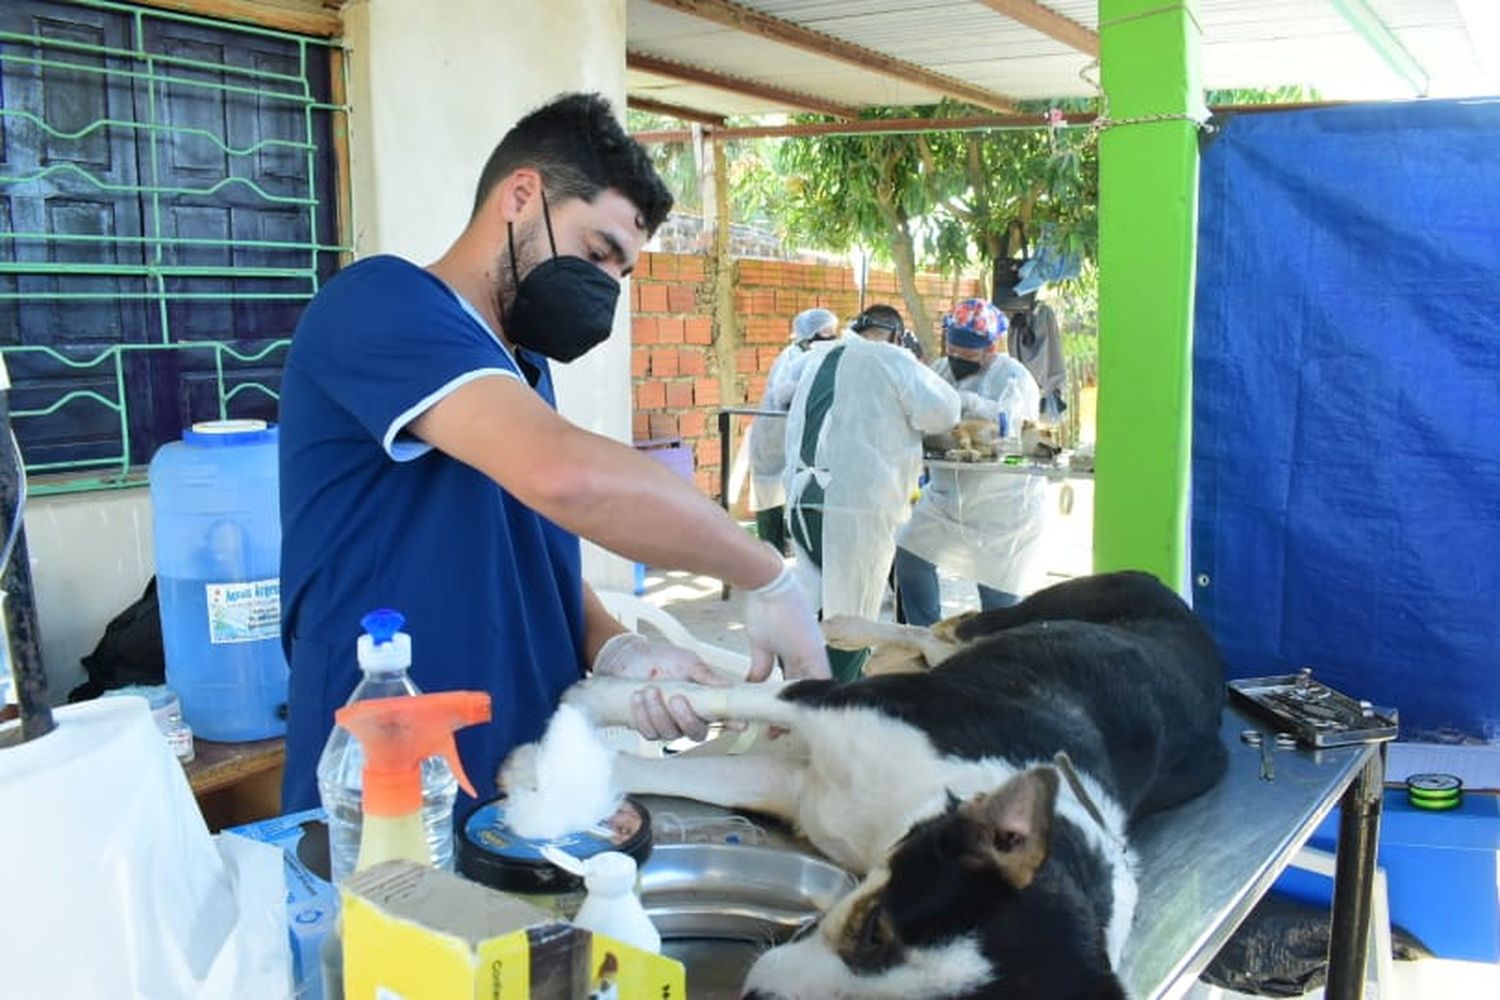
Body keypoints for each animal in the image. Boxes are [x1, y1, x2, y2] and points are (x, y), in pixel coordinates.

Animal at [534, 575, 1224, 995]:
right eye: (873, 932)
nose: (755, 993)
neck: (914, 807)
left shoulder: (798, 788)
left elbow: (698, 775)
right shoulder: (838, 701)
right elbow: (723, 696)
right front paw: (583, 721)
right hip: (1024, 617)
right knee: (943, 630)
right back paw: (846, 623)